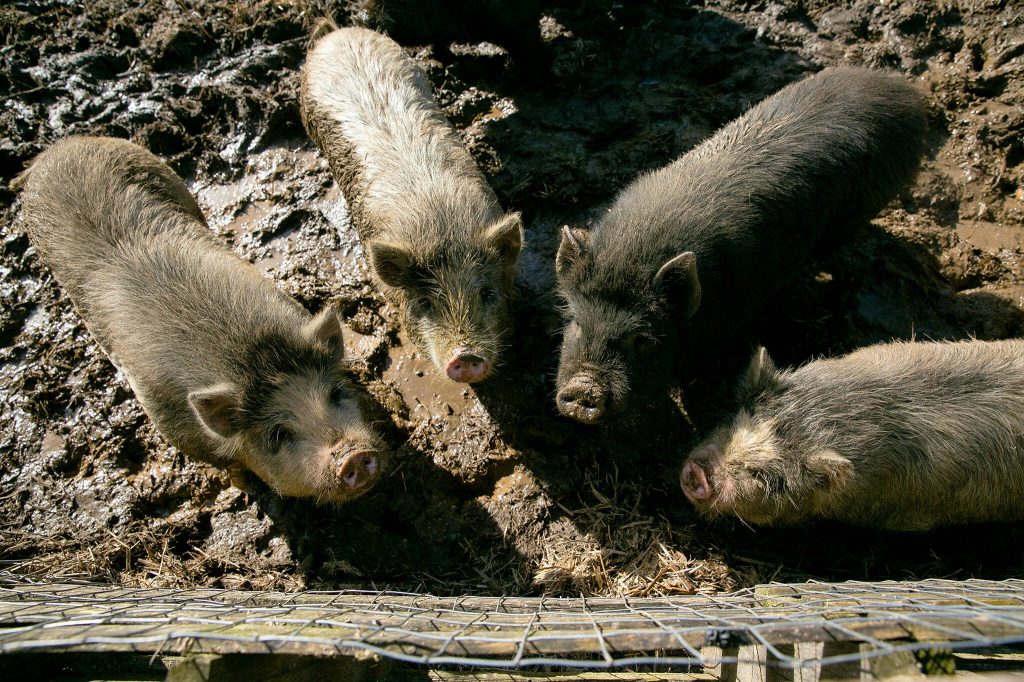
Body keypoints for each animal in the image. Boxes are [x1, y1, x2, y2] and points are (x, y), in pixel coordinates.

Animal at [15, 135, 382, 504]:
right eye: (278, 433)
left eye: (336, 393)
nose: (352, 455)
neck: (253, 358)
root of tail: (59, 147)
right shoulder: (170, 423)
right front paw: (247, 489)